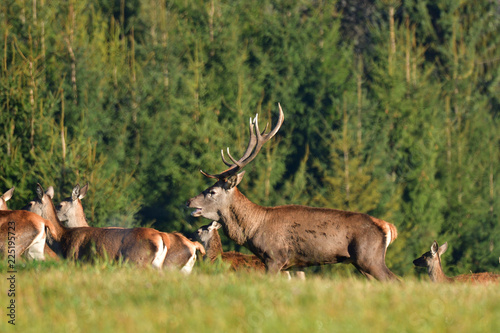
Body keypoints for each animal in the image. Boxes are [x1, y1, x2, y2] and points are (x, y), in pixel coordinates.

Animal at [188, 104, 398, 280]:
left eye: (212, 191)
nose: (189, 201)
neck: (253, 228)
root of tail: (388, 227)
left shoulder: (275, 257)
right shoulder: (290, 264)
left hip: (369, 257)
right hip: (361, 264)